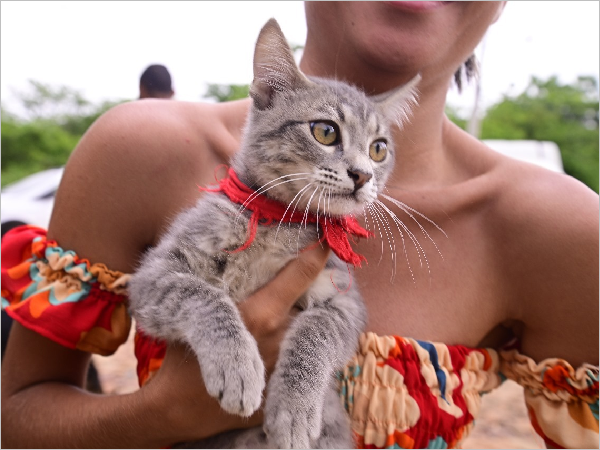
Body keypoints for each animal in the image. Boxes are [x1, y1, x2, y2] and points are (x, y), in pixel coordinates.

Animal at [127, 18, 418, 450]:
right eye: (326, 132)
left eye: (379, 149)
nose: (364, 175)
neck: (280, 223)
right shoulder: (152, 277)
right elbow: (201, 294)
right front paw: (237, 364)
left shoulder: (345, 301)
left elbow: (317, 333)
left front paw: (294, 407)